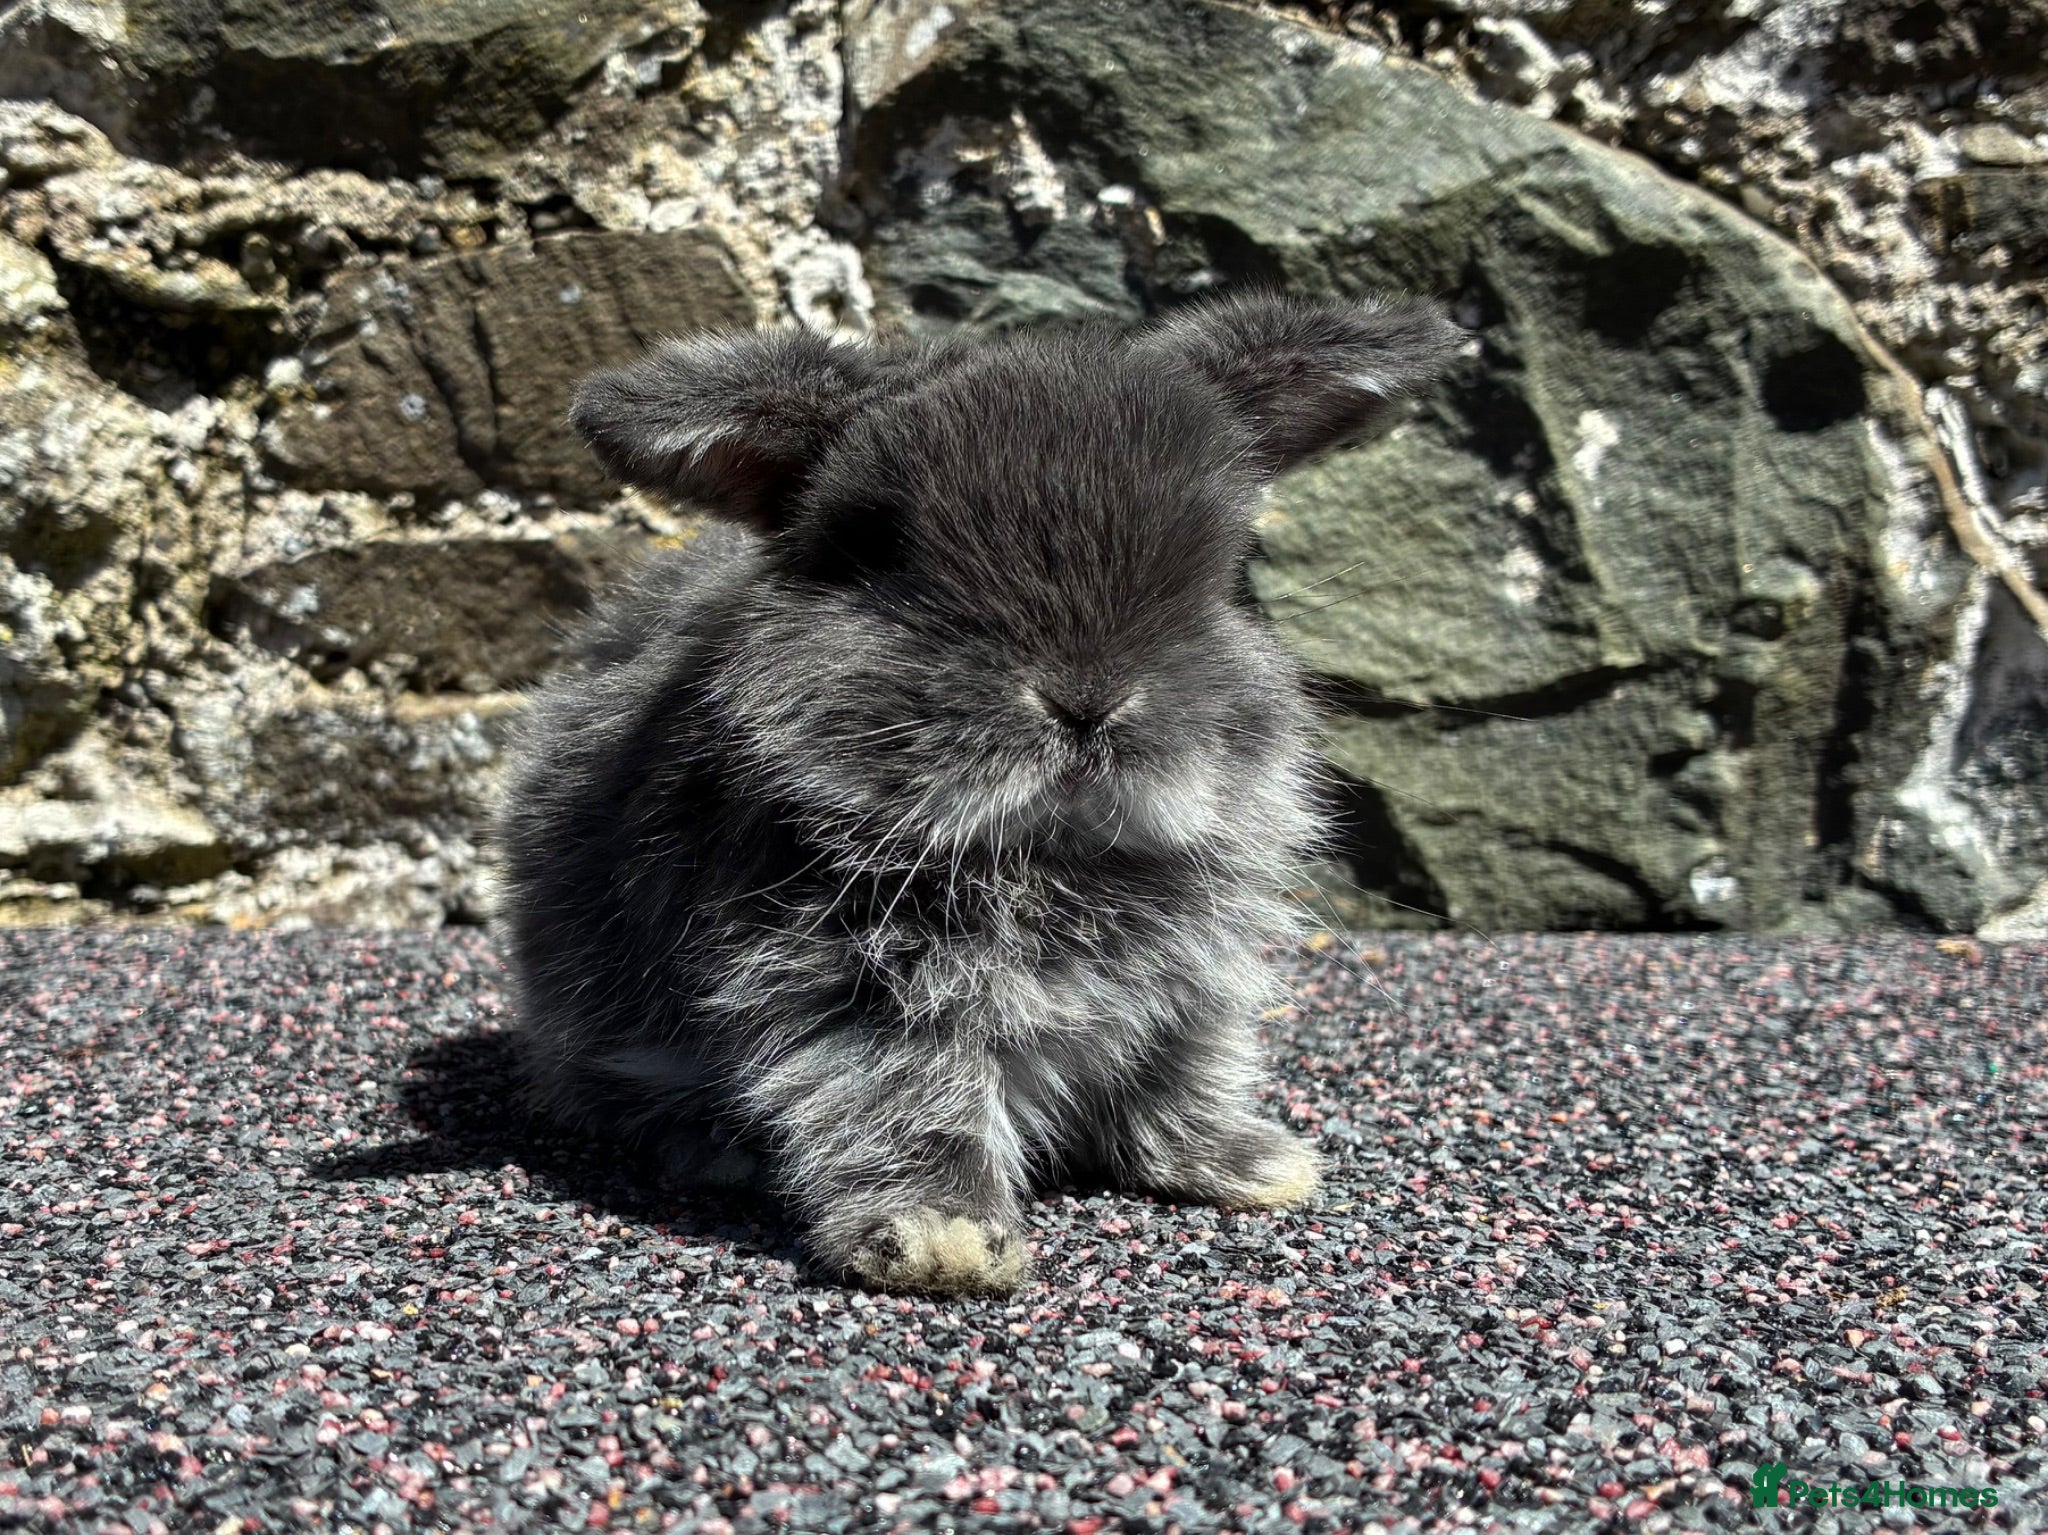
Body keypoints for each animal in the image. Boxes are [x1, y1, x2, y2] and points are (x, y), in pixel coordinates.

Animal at [495, 291, 1459, 1294]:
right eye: (882, 552)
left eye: (1227, 565)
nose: (1087, 699)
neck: (1050, 849)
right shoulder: (860, 1001)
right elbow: (906, 1106)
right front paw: (943, 1242)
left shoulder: (1193, 994)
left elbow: (1183, 1079)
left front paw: (1253, 1166)